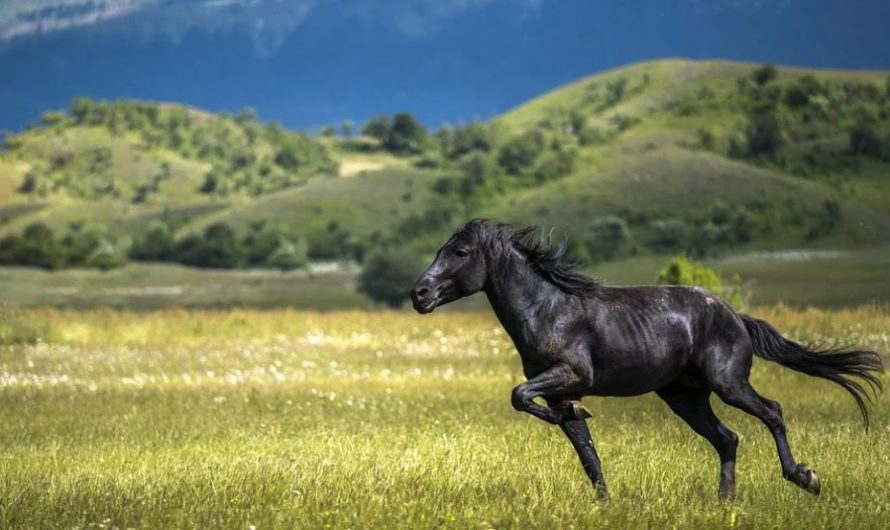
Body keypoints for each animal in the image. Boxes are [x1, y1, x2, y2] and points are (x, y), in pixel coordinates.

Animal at [410, 219, 883, 500]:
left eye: (460, 253)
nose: (419, 294)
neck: (549, 309)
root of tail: (735, 316)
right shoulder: (559, 389)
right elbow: (584, 449)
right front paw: (603, 501)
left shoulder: (571, 374)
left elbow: (518, 395)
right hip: (685, 397)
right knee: (727, 438)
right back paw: (725, 503)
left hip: (729, 384)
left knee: (772, 412)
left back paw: (805, 478)